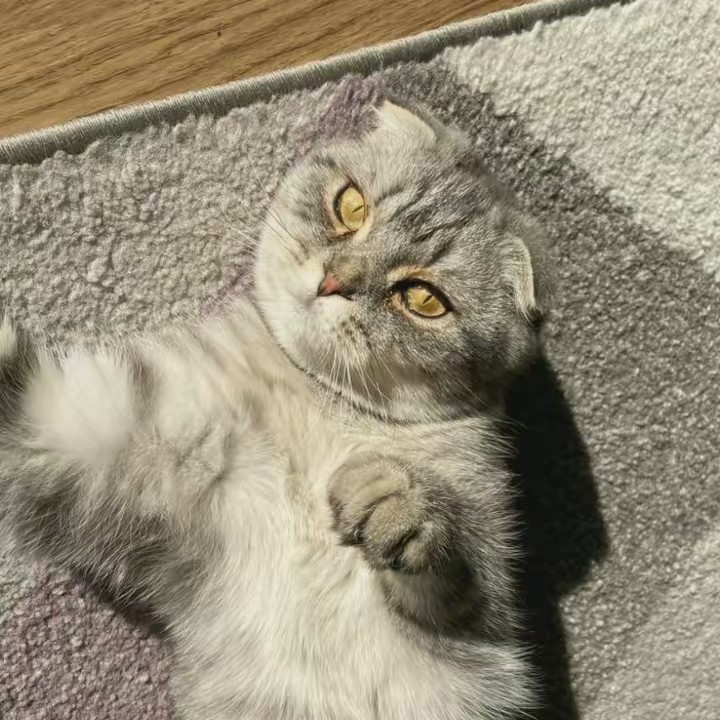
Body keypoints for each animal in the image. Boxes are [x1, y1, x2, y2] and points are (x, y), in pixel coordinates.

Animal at [0, 96, 551, 719]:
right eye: (351, 205)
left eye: (423, 298)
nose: (334, 281)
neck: (317, 402)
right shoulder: (90, 428)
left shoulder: (489, 605)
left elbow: (454, 567)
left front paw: (397, 501)